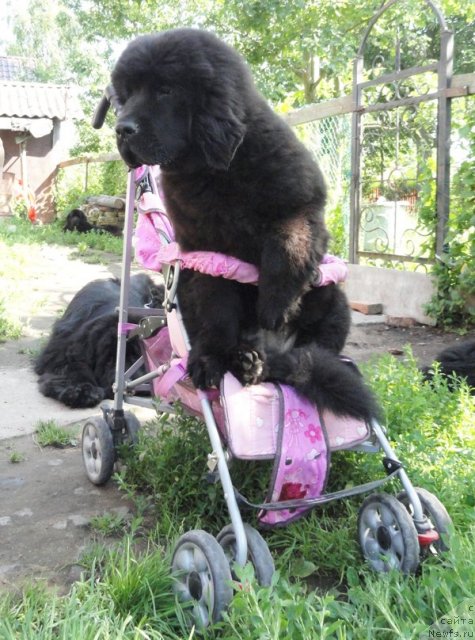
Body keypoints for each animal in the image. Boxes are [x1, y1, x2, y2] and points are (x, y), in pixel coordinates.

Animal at [34, 272, 163, 408]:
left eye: (136, 355)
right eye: (109, 360)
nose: (129, 383)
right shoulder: (62, 352)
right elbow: (74, 367)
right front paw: (81, 391)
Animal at [110, 28, 380, 420]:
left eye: (165, 89)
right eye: (127, 94)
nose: (121, 129)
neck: (217, 168)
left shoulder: (303, 209)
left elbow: (287, 245)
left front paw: (275, 306)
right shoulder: (207, 253)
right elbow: (217, 307)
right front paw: (211, 360)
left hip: (333, 300)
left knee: (309, 355)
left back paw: (277, 361)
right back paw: (243, 359)